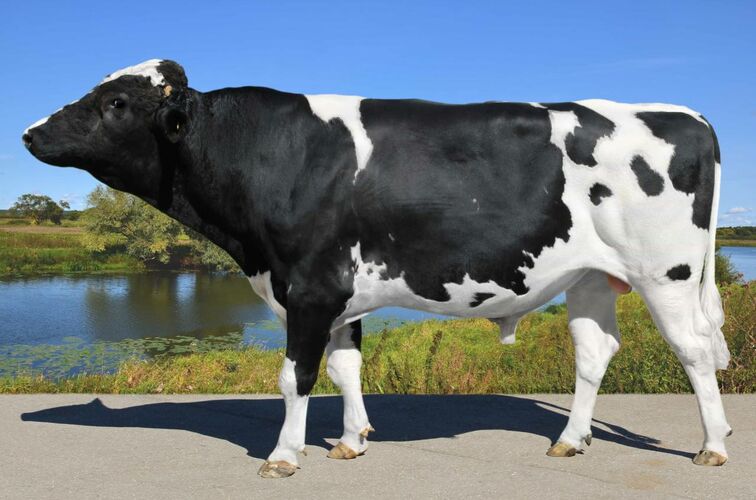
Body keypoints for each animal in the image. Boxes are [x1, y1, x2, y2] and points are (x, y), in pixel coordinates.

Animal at [22, 60, 731, 477]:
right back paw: (570, 440)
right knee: (594, 353)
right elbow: (344, 369)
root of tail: (682, 112)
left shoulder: (309, 288)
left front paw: (285, 455)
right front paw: (350, 442)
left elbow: (295, 377)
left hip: (665, 273)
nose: (30, 132)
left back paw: (714, 445)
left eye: (116, 103)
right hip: (588, 278)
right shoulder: (337, 294)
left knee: (696, 351)